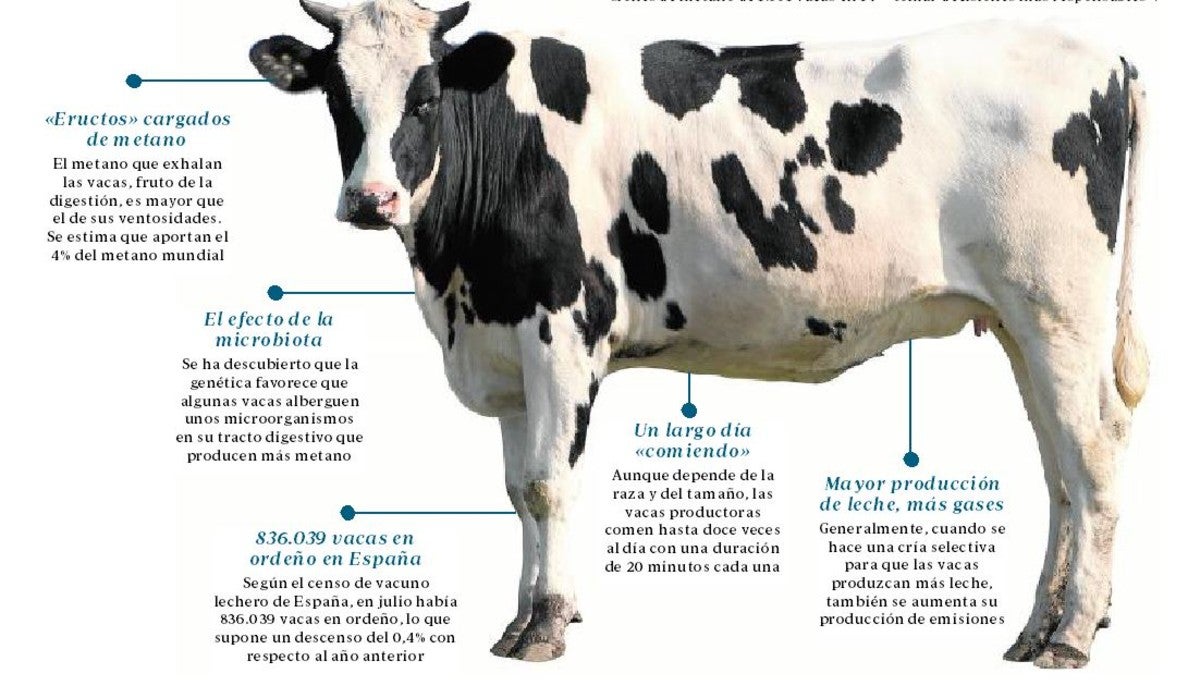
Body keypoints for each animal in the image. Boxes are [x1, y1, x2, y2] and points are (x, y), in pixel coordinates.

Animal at [251, 0, 1148, 667]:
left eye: (428, 95)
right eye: (335, 94)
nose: (372, 200)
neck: (455, 281)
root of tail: (1106, 54)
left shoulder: (564, 332)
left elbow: (548, 484)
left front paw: (548, 624)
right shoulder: (506, 348)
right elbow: (516, 491)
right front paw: (520, 619)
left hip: (1060, 310)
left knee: (1095, 454)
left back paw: (1072, 634)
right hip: (1022, 325)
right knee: (1058, 468)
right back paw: (1037, 628)